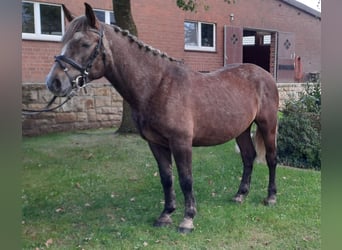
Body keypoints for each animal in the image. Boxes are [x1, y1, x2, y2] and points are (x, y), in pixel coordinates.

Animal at [46, 2, 278, 232]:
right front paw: (166, 214)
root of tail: (264, 74)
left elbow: (185, 179)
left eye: (84, 44)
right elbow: (166, 178)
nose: (53, 82)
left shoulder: (181, 142)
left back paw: (271, 197)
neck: (157, 86)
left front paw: (188, 219)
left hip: (268, 125)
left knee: (270, 158)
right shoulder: (156, 143)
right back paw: (240, 195)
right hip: (242, 129)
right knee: (248, 157)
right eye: (63, 41)